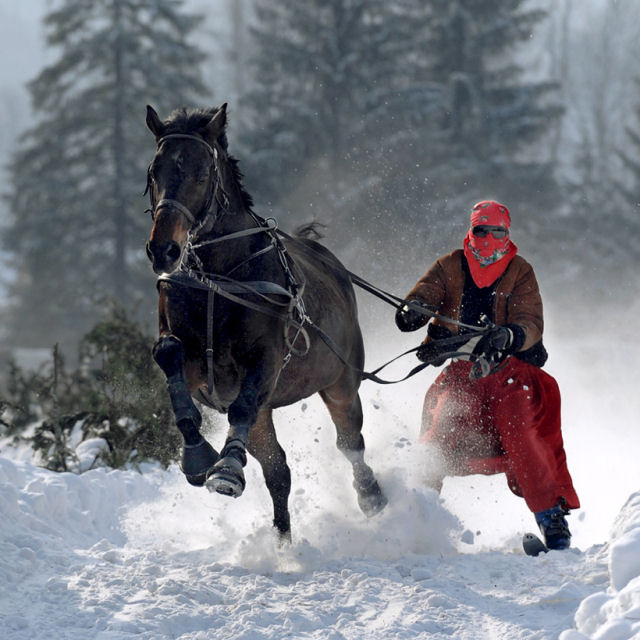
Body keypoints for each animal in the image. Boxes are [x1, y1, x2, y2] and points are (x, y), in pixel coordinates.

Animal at [144, 105, 384, 540]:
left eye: (202, 172)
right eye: (155, 171)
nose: (163, 249)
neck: (218, 279)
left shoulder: (265, 361)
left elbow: (242, 405)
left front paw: (224, 468)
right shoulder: (193, 359)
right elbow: (168, 353)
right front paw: (198, 455)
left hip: (341, 381)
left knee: (349, 442)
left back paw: (370, 495)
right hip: (269, 412)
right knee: (278, 470)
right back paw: (282, 539)